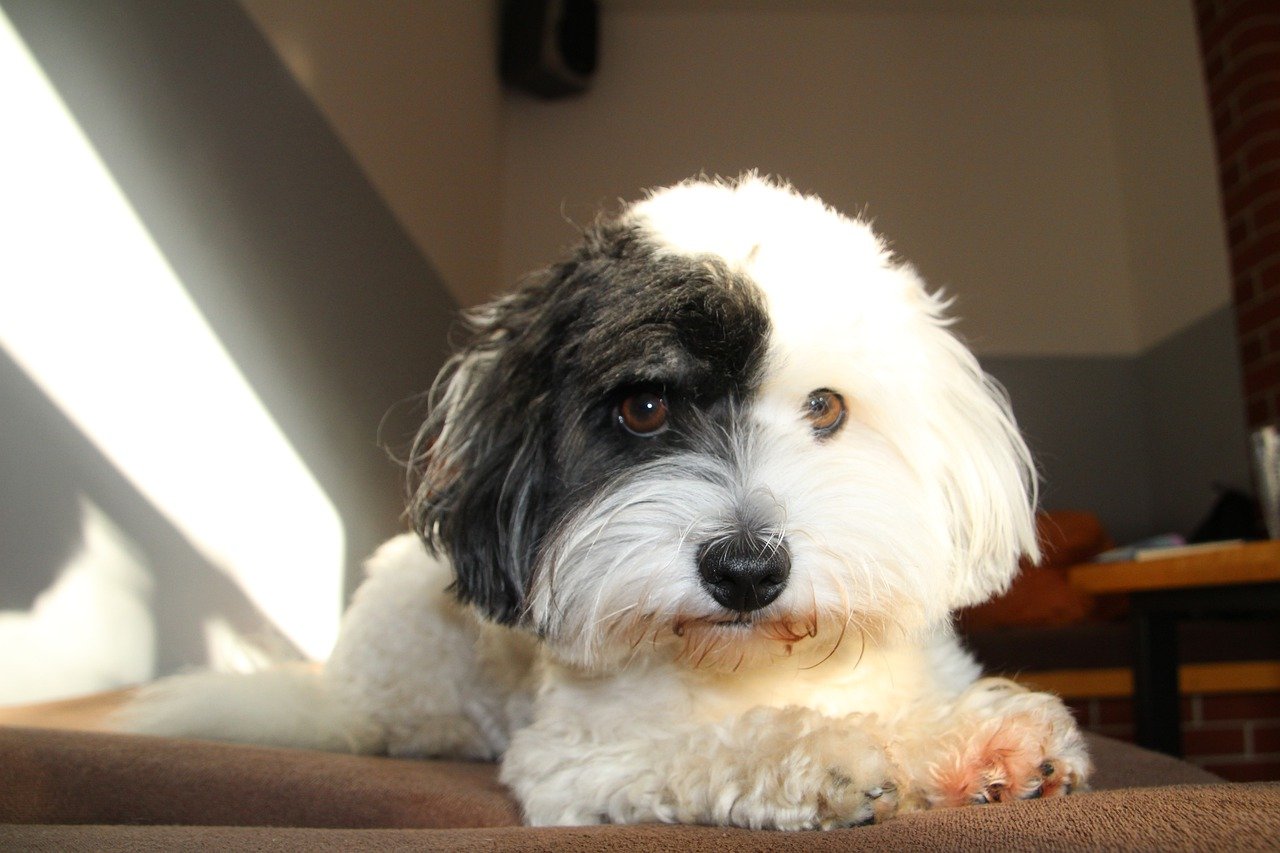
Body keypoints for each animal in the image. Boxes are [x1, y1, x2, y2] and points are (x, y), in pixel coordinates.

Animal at [122, 174, 1090, 824]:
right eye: (644, 406)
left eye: (826, 407)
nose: (746, 569)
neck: (758, 664)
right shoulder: (579, 757)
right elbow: (719, 742)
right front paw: (827, 756)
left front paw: (973, 739)